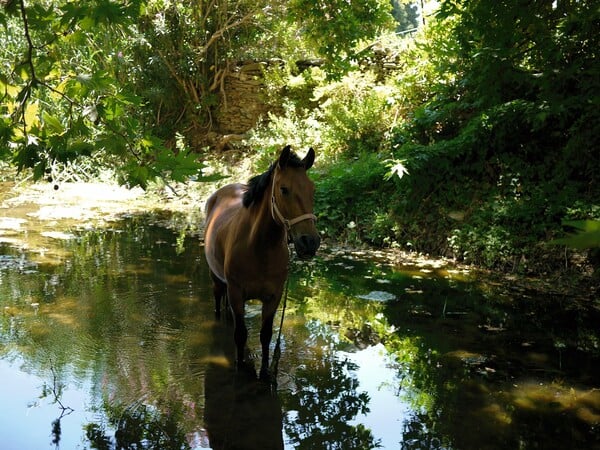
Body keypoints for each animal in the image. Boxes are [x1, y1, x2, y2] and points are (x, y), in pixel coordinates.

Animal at [204, 146, 322, 378]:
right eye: (284, 189)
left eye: (312, 189)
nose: (310, 242)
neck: (259, 248)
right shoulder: (236, 293)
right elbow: (240, 335)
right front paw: (240, 366)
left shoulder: (274, 296)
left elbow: (266, 335)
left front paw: (267, 371)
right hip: (217, 281)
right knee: (218, 303)